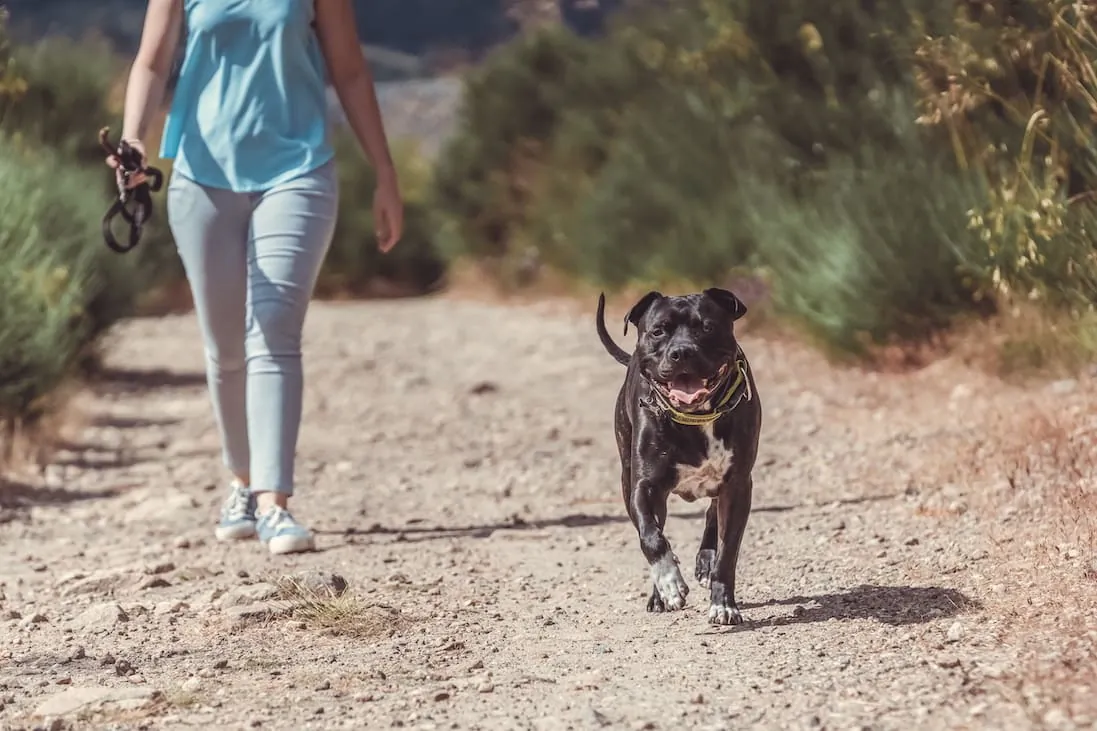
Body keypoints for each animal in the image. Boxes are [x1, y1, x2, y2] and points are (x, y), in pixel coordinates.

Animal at [592, 287, 763, 623]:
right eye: (658, 331)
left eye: (706, 327)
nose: (681, 352)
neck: (696, 417)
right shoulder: (644, 488)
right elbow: (651, 536)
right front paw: (669, 582)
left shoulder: (738, 485)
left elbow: (728, 551)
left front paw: (723, 603)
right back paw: (660, 593)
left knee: (712, 516)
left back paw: (705, 562)